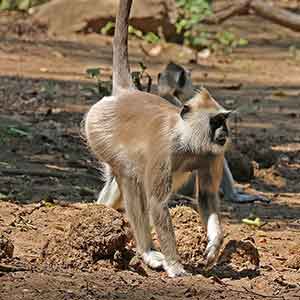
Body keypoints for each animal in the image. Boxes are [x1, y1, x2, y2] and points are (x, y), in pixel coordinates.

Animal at [84, 0, 232, 276]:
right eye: (216, 122)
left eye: (224, 120)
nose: (224, 133)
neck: (186, 140)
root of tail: (126, 93)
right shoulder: (163, 148)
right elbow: (157, 204)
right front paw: (175, 265)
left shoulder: (212, 153)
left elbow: (207, 197)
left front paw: (215, 245)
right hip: (98, 130)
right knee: (130, 178)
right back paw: (147, 252)